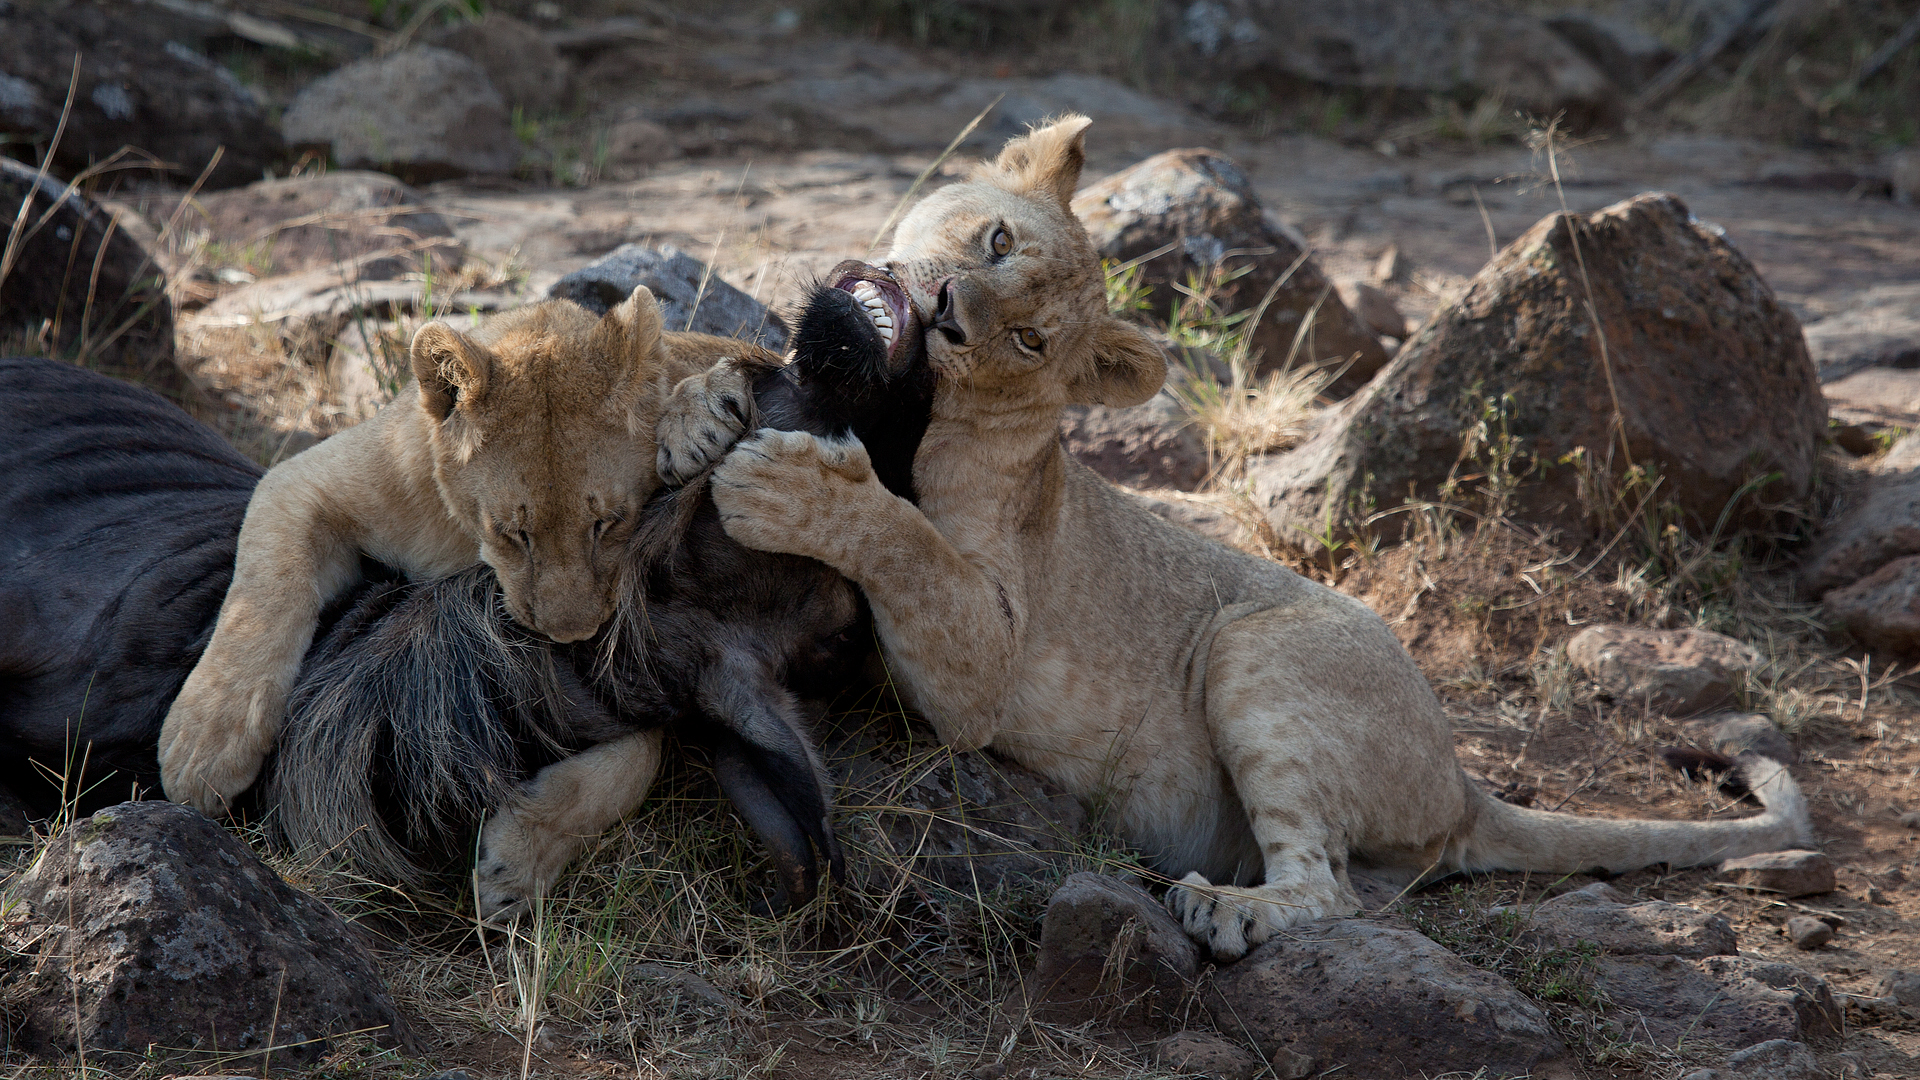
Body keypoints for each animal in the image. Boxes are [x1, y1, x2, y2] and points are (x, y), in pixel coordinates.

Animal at [160, 286, 708, 817]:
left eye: (607, 522)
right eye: (511, 532)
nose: (571, 635)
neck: (465, 539)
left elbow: (638, 757)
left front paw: (524, 833)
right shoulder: (304, 480)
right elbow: (262, 596)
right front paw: (205, 744)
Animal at [657, 116, 1815, 960]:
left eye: (1027, 338)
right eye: (994, 242)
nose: (944, 306)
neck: (943, 412)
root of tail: (1462, 777)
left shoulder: (978, 673)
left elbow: (907, 542)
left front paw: (785, 485)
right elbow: (732, 364)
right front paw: (691, 414)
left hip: (1256, 647)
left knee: (1329, 889)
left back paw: (1227, 910)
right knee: (1372, 887)